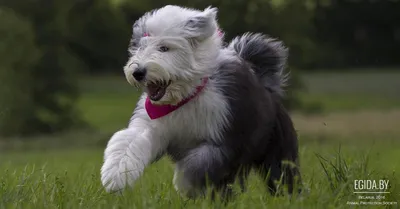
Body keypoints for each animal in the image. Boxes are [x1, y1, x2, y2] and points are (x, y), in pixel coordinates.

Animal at [99, 4, 300, 199]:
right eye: (140, 47)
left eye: (164, 48)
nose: (138, 72)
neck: (185, 98)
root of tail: (264, 82)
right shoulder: (153, 126)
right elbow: (128, 141)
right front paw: (115, 176)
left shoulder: (223, 143)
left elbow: (198, 166)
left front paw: (186, 187)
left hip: (277, 149)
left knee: (282, 174)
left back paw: (289, 197)